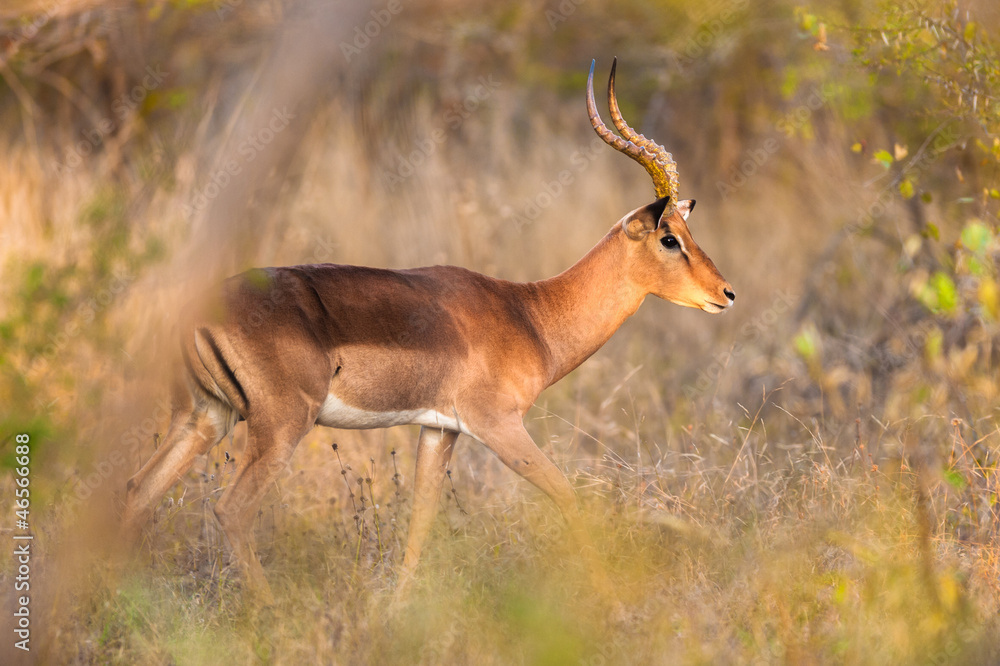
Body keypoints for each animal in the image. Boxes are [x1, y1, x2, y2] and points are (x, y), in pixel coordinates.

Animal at [121, 59, 734, 599]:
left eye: (688, 230)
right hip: (279, 424)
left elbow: (420, 520)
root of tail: (198, 309)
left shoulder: (440, 429)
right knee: (231, 509)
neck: (530, 314)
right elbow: (568, 497)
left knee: (134, 490)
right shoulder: (497, 425)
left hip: (204, 417)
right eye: (669, 238)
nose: (726, 294)